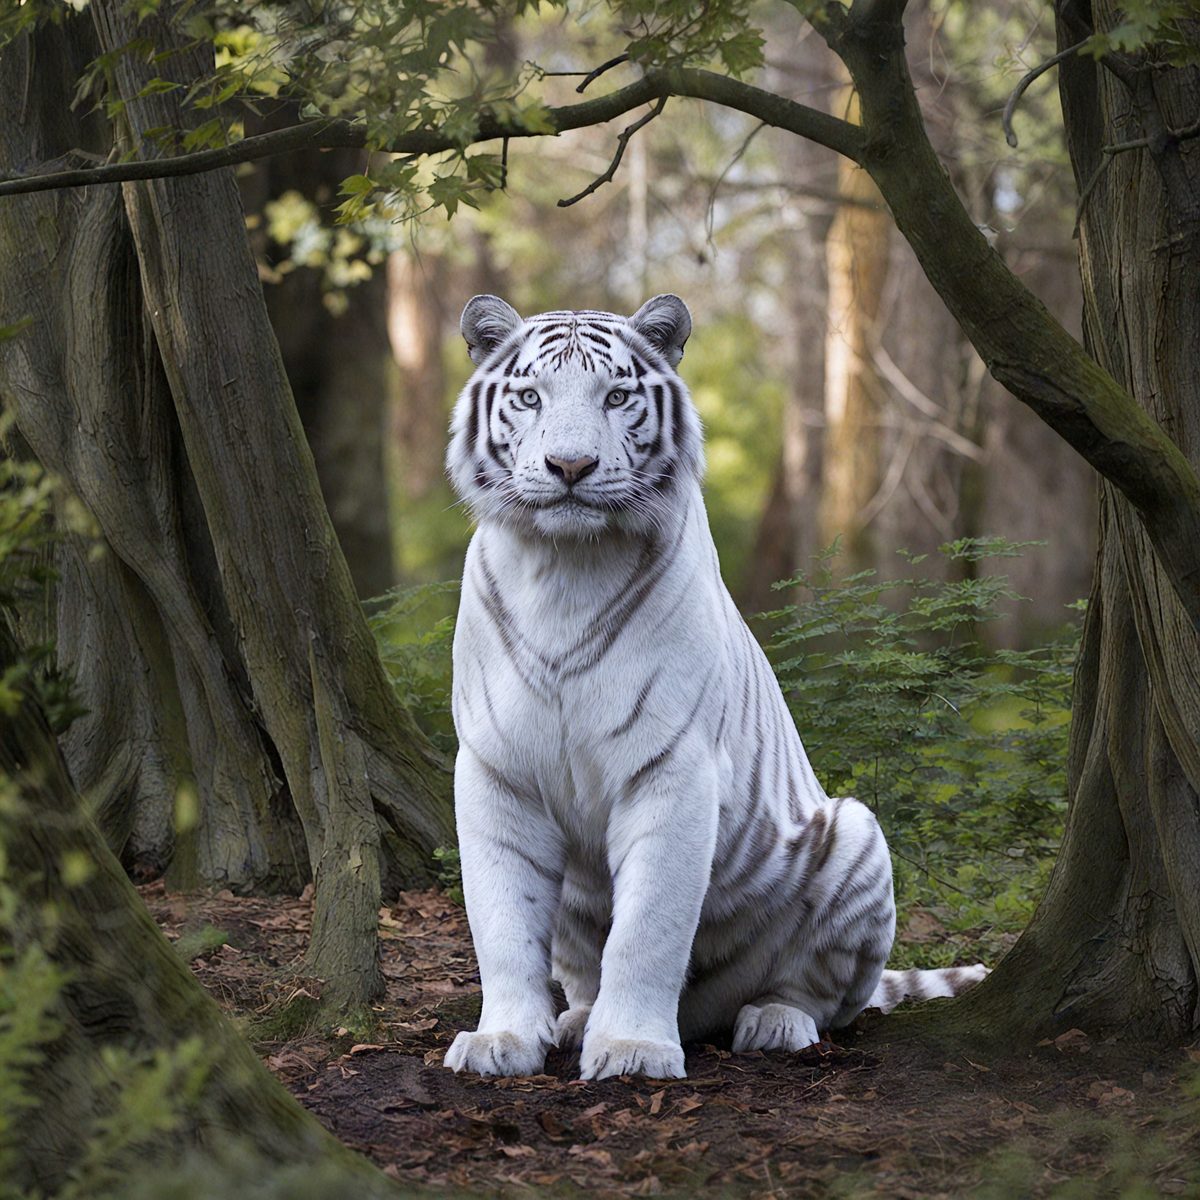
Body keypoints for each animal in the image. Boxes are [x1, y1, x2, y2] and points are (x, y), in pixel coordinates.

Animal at [443, 293, 987, 1081]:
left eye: (616, 396)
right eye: (530, 396)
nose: (570, 465)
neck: (564, 567)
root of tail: (704, 1015)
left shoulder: (672, 764)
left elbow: (649, 927)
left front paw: (633, 1049)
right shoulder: (496, 767)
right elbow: (502, 920)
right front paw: (504, 1039)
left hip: (855, 835)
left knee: (825, 998)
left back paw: (773, 1022)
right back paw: (575, 1020)